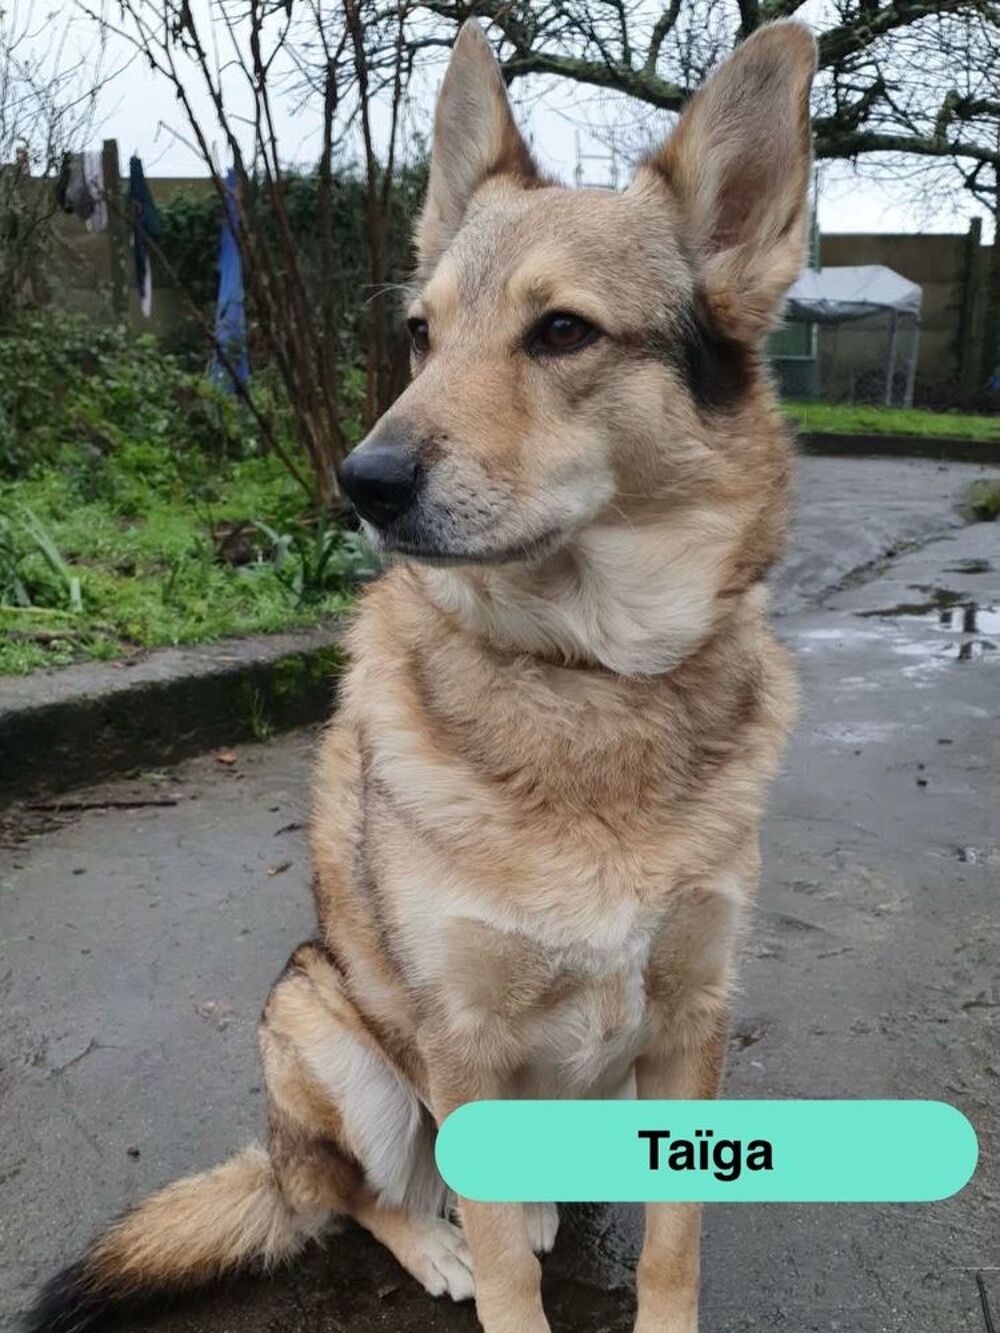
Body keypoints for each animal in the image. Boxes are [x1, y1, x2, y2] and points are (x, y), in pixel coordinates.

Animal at [29, 17, 815, 1333]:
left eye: (562, 331)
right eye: (420, 334)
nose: (363, 480)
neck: (585, 671)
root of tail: (274, 1151)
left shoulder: (692, 1022)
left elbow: (673, 1244)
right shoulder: (461, 1036)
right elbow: (503, 1270)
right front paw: (484, 1261)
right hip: (320, 1022)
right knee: (353, 1195)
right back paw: (427, 1235)